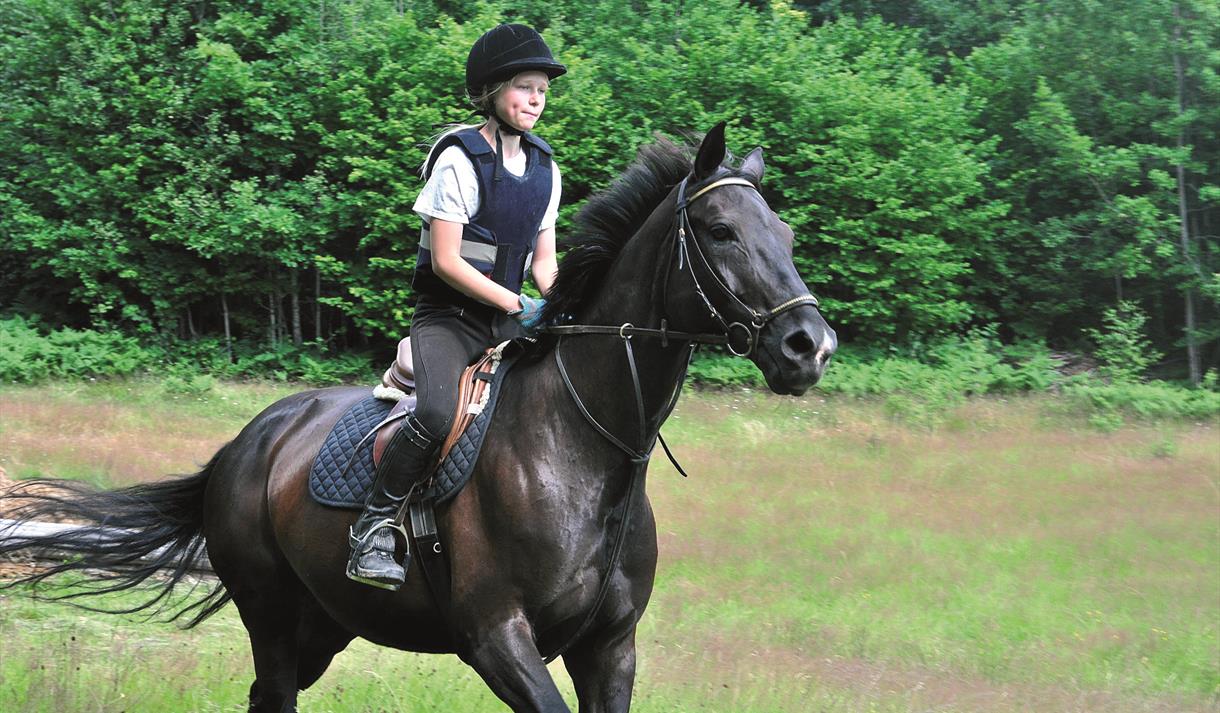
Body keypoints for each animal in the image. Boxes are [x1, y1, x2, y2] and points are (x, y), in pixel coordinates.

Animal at [0, 123, 836, 712]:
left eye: (787, 236)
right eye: (722, 231)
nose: (811, 346)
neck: (581, 450)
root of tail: (247, 441)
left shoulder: (610, 647)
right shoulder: (497, 636)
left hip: (324, 621)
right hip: (270, 611)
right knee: (273, 692)